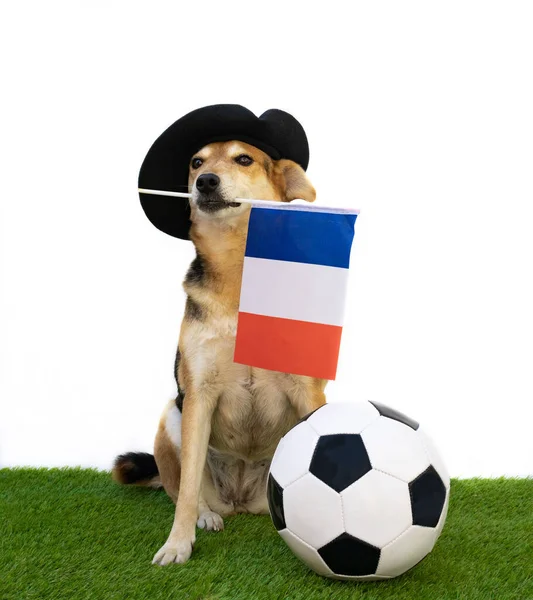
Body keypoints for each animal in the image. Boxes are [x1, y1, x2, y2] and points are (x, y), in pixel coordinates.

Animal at [113, 139, 328, 564]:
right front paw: (177, 544)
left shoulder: (308, 391)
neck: (238, 270)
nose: (205, 181)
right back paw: (207, 516)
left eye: (243, 159)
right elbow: (187, 489)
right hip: (173, 415)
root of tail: (241, 501)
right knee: (185, 488)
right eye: (196, 163)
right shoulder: (199, 393)